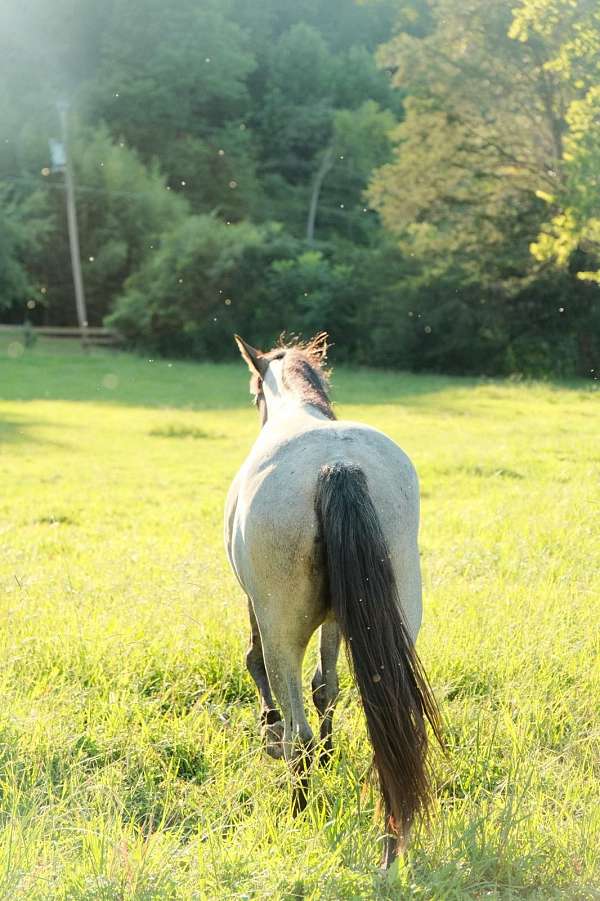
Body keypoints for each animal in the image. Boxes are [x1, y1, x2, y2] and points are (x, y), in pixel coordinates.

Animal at [224, 332, 441, 867]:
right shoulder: (341, 619)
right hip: (394, 625)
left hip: (282, 627)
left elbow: (254, 661)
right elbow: (327, 685)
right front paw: (329, 753)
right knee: (391, 724)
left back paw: (298, 808)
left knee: (295, 725)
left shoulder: (255, 605)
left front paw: (268, 730)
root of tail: (338, 467)